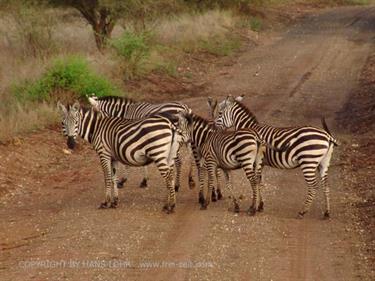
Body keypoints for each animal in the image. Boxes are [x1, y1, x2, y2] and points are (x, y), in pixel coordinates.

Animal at [57, 100, 189, 212]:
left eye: (76, 122)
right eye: (63, 123)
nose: (70, 144)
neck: (96, 128)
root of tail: (170, 125)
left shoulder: (104, 154)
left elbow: (107, 178)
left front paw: (106, 202)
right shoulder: (113, 158)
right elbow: (114, 178)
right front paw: (115, 201)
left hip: (158, 153)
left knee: (168, 177)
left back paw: (172, 206)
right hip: (168, 155)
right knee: (170, 175)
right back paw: (167, 204)